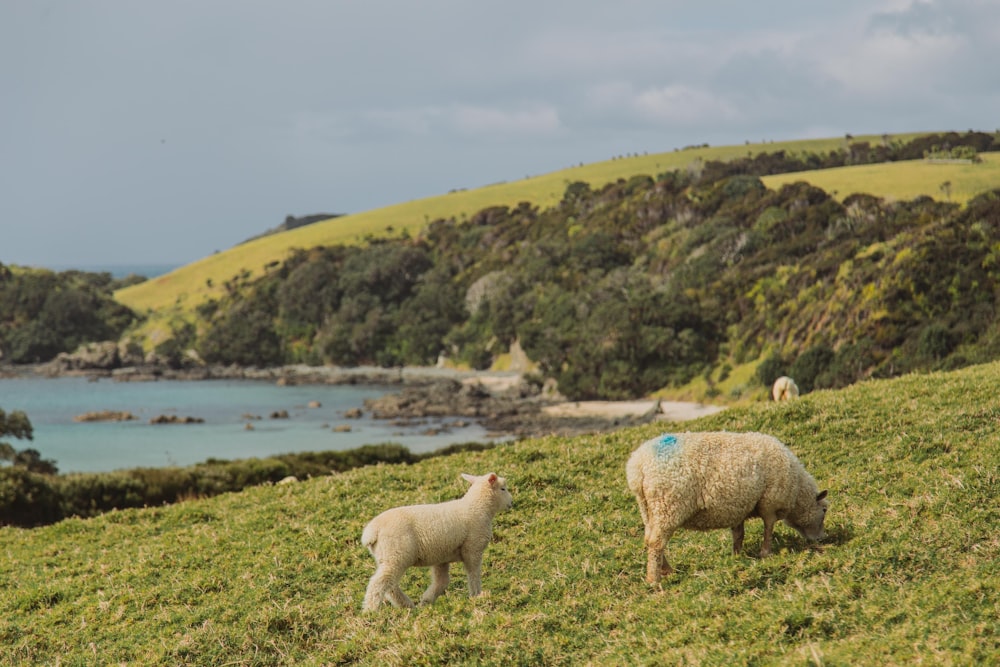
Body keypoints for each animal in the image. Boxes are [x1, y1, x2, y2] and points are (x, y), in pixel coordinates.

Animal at [362, 470, 516, 612]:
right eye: (503, 489)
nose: (511, 503)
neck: (478, 507)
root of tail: (372, 531)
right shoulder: (473, 548)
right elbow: (473, 574)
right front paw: (477, 596)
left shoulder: (441, 557)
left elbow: (442, 582)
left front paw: (426, 600)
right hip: (397, 554)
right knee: (379, 583)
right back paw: (370, 611)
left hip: (386, 557)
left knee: (391, 585)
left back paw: (407, 605)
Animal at [624, 434, 828, 584]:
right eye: (824, 511)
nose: (821, 539)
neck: (798, 491)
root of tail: (638, 466)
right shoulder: (769, 502)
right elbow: (768, 528)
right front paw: (765, 552)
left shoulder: (738, 508)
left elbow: (739, 534)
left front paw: (736, 555)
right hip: (667, 505)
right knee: (656, 542)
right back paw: (654, 579)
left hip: (648, 508)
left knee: (650, 539)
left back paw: (666, 570)